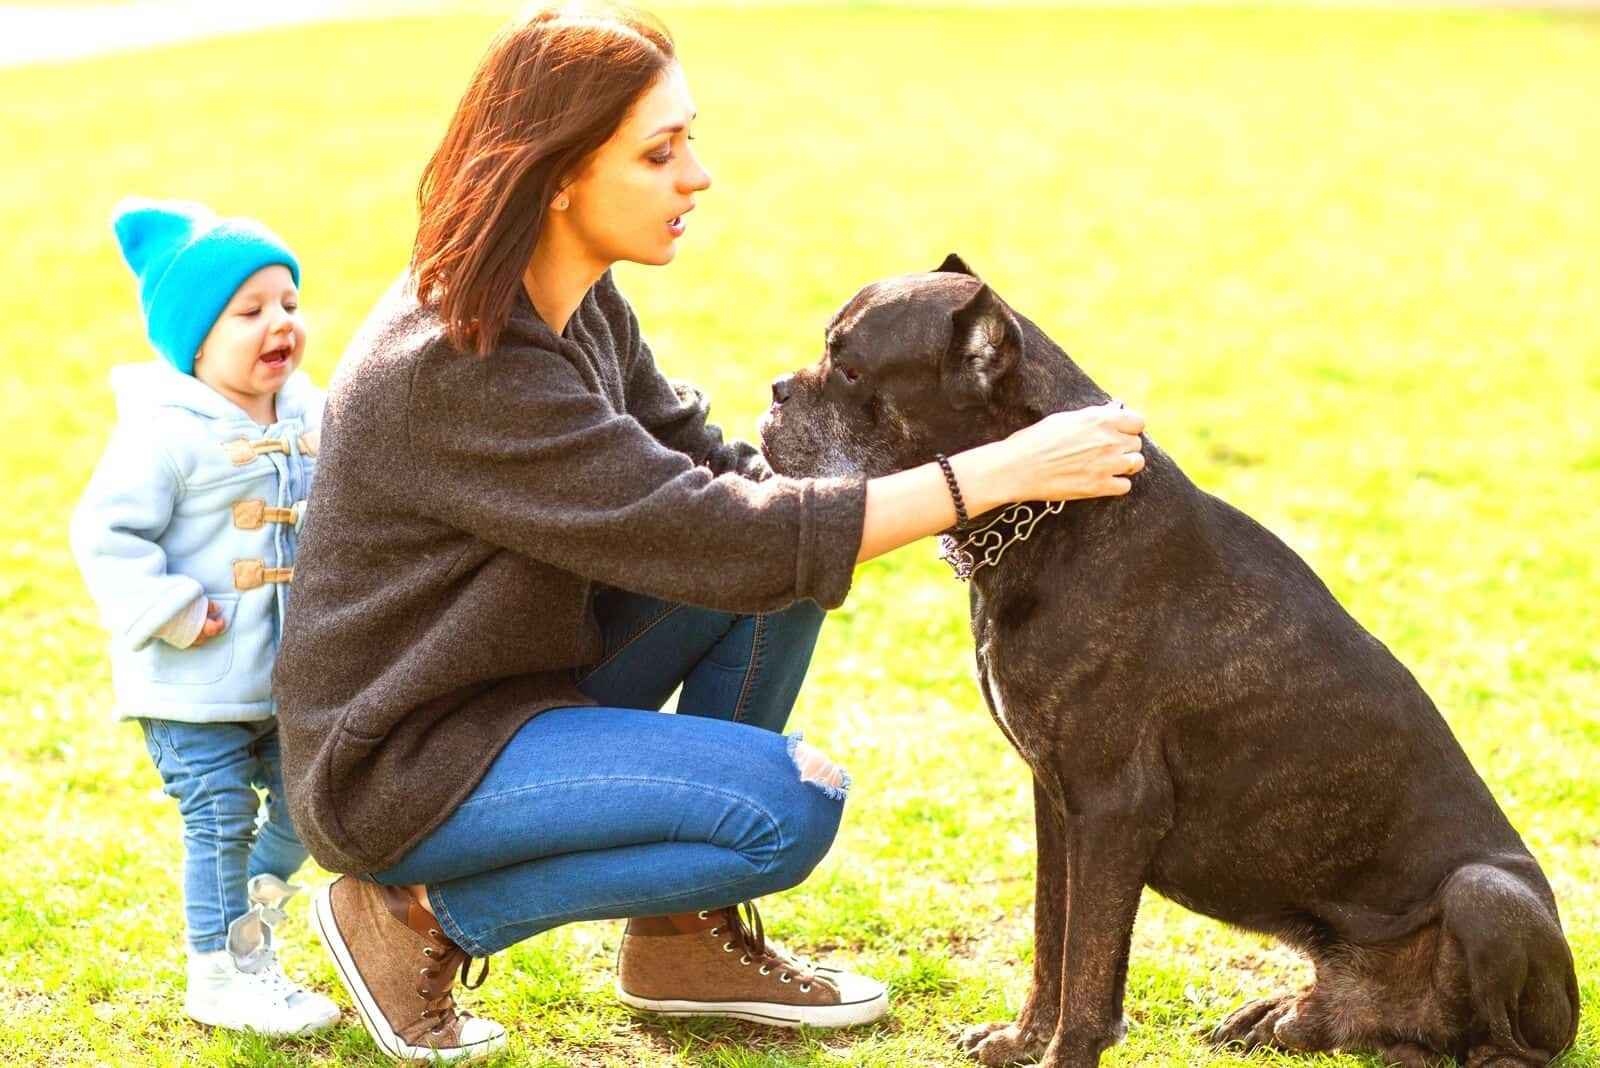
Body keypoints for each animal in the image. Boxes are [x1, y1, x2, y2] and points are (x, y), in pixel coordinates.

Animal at [755, 255, 1580, 1068]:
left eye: (850, 369)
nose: (775, 390)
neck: (1049, 518)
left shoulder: (1114, 806)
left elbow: (1088, 970)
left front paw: (1061, 1053)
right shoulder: (1057, 803)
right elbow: (1052, 940)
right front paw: (1020, 1041)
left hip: (1486, 894)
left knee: (1509, 1043)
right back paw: (1289, 1015)